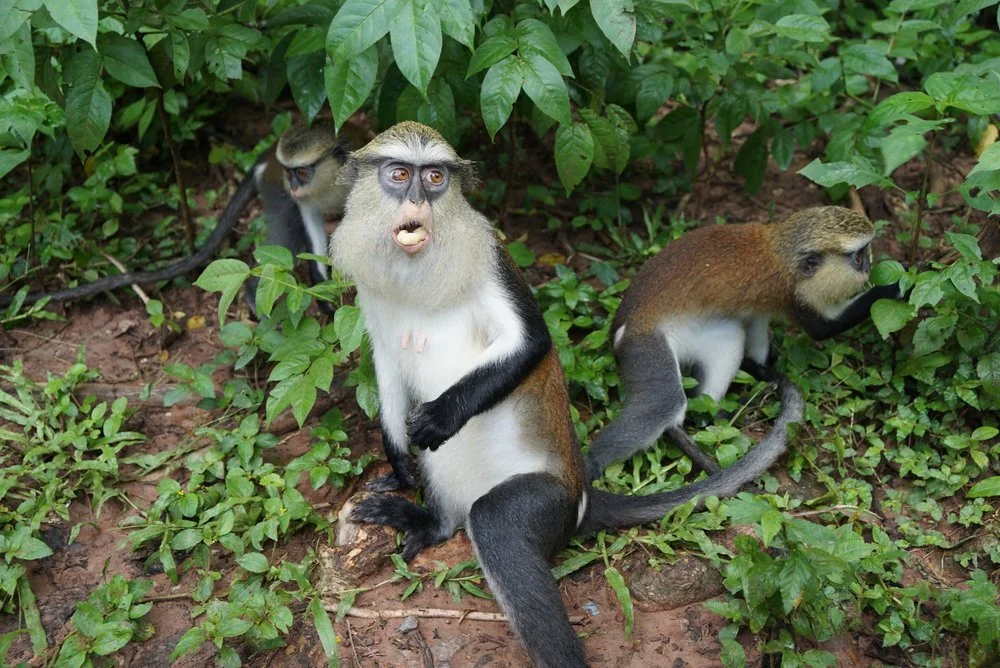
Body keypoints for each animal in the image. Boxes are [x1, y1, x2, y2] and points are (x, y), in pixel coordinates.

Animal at [0, 122, 360, 313]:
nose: (293, 185)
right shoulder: (299, 201)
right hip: (273, 191)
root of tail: (265, 160)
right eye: (291, 173)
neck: (328, 183)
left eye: (303, 172)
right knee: (283, 245)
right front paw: (328, 299)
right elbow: (311, 245)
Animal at [329, 122, 804, 667]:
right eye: (399, 174)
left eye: (434, 178)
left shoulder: (490, 257)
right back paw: (433, 523)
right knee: (455, 513)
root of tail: (583, 499)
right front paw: (399, 463)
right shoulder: (372, 297)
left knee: (496, 522)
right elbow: (387, 365)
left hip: (548, 503)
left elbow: (532, 341)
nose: (416, 200)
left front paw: (439, 418)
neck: (414, 273)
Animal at [584, 206, 903, 482]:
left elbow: (756, 323)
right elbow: (821, 330)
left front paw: (764, 363)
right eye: (858, 257)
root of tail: (619, 329)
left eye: (865, 253)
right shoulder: (794, 294)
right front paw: (896, 287)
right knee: (664, 402)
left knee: (729, 340)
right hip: (643, 346)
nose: (869, 267)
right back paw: (593, 462)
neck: (782, 250)